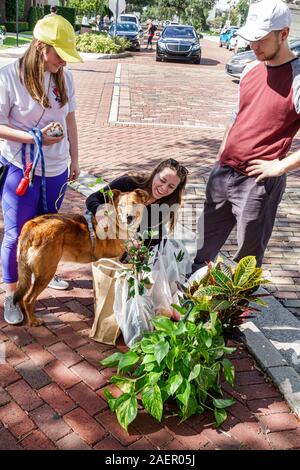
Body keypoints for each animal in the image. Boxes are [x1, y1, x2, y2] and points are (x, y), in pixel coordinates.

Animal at [13, 189, 148, 324]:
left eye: (134, 204)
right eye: (121, 206)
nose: (129, 217)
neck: (114, 224)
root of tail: (32, 225)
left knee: (22, 295)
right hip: (46, 271)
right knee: (28, 299)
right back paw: (33, 321)